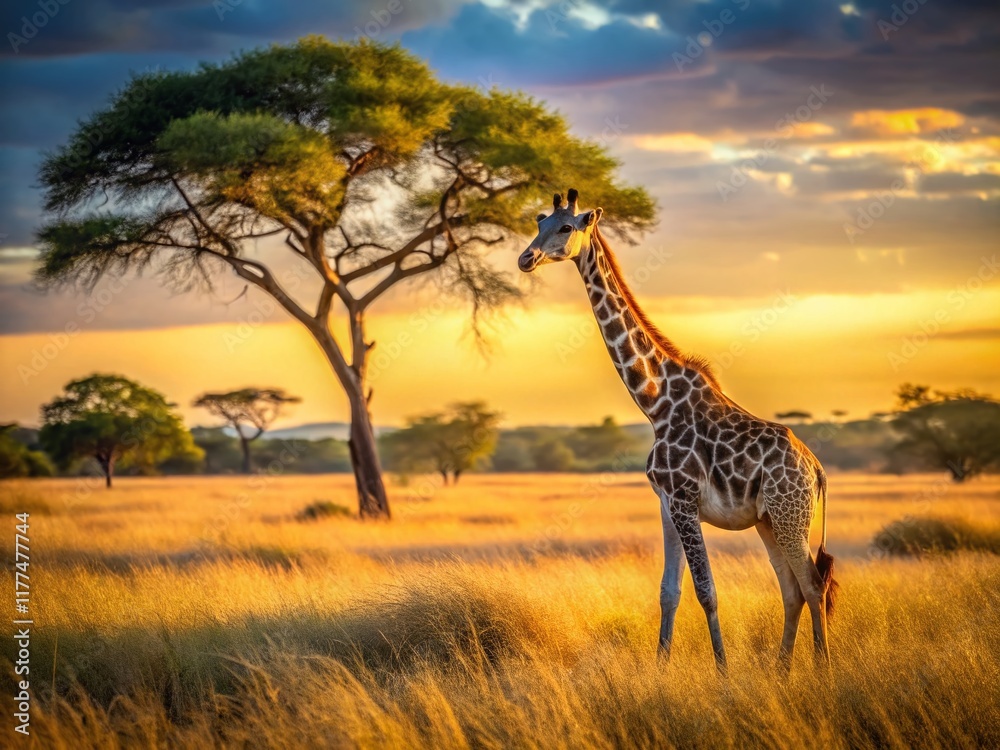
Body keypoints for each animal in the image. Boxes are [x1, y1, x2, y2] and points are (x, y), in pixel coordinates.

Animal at [518, 189, 837, 671]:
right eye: (539, 222)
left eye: (566, 227)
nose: (527, 258)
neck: (655, 402)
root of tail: (816, 470)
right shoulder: (667, 502)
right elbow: (669, 591)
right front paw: (660, 667)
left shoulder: (685, 498)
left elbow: (707, 591)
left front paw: (722, 670)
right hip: (769, 521)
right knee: (792, 590)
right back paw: (782, 670)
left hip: (789, 516)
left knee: (814, 585)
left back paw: (822, 667)